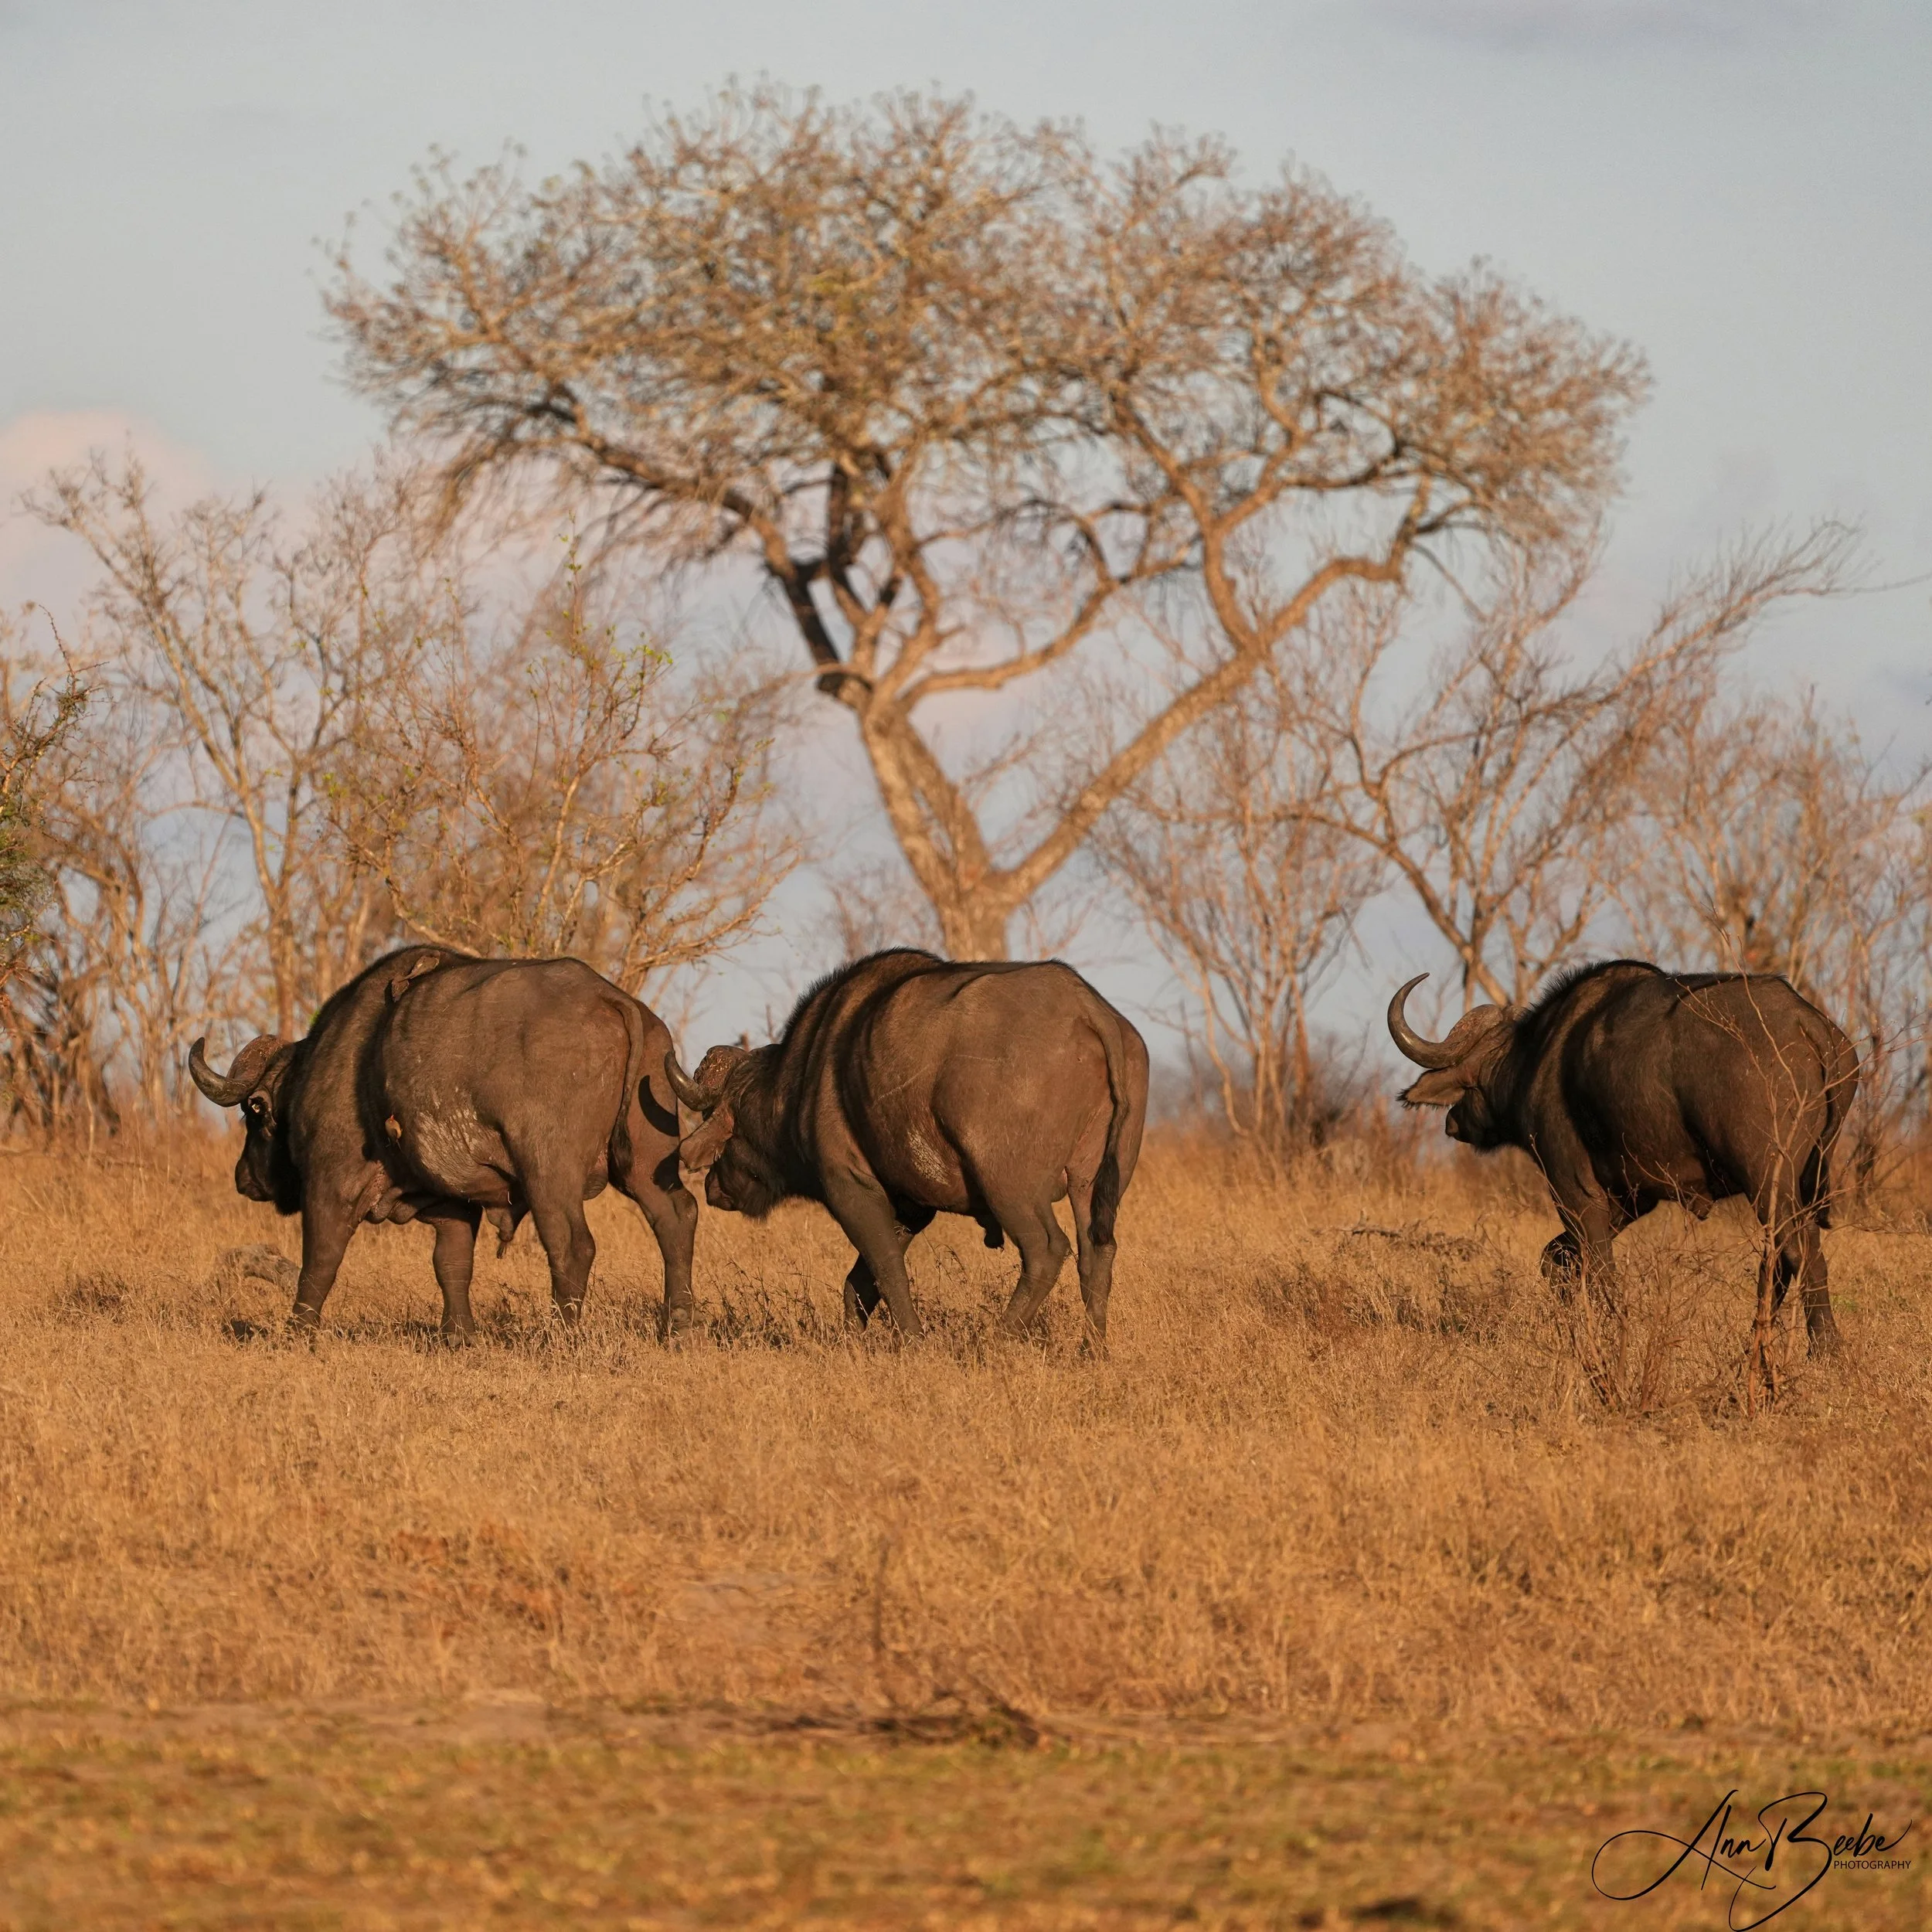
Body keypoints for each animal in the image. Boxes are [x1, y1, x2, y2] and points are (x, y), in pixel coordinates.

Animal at [188, 946, 698, 1337]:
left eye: (254, 1112)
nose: (243, 1178)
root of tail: (610, 999)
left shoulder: (330, 1188)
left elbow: (318, 1263)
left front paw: (299, 1331)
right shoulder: (454, 1205)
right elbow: (452, 1266)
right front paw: (459, 1335)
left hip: (548, 1173)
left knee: (572, 1244)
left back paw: (562, 1335)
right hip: (646, 1161)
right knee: (677, 1217)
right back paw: (677, 1325)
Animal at [664, 948, 1148, 1344]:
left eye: (724, 1124)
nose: (713, 1186)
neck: (804, 1077)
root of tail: (1084, 1005)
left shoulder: (850, 1188)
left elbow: (886, 1269)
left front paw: (914, 1341)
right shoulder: (910, 1207)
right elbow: (860, 1282)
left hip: (1010, 1188)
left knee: (1047, 1249)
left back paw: (997, 1340)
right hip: (1094, 1184)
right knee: (1097, 1252)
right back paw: (1093, 1348)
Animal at [1387, 960, 1858, 1391]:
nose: (1453, 1123)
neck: (1536, 1058)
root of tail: (1807, 1022)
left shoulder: (1576, 1192)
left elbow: (1599, 1273)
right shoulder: (1629, 1200)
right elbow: (1556, 1259)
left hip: (1768, 1180)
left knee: (1801, 1252)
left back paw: (1824, 1351)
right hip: (1802, 1181)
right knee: (1778, 1260)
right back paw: (1754, 1351)